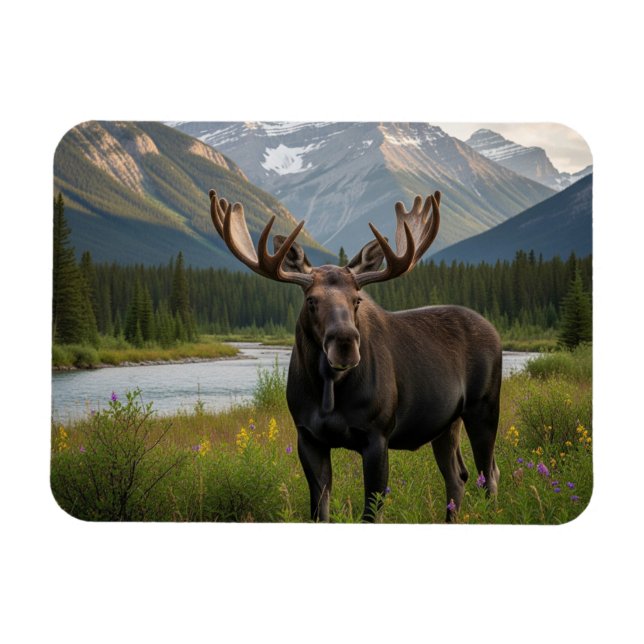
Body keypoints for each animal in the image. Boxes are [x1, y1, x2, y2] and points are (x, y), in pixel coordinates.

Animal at [208, 188, 501, 522]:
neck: (327, 391)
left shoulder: (377, 435)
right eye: (311, 300)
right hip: (445, 423)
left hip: (484, 408)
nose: (345, 342)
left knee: (489, 473)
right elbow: (319, 511)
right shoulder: (308, 437)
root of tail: (494, 330)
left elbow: (371, 513)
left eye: (357, 299)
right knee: (458, 476)